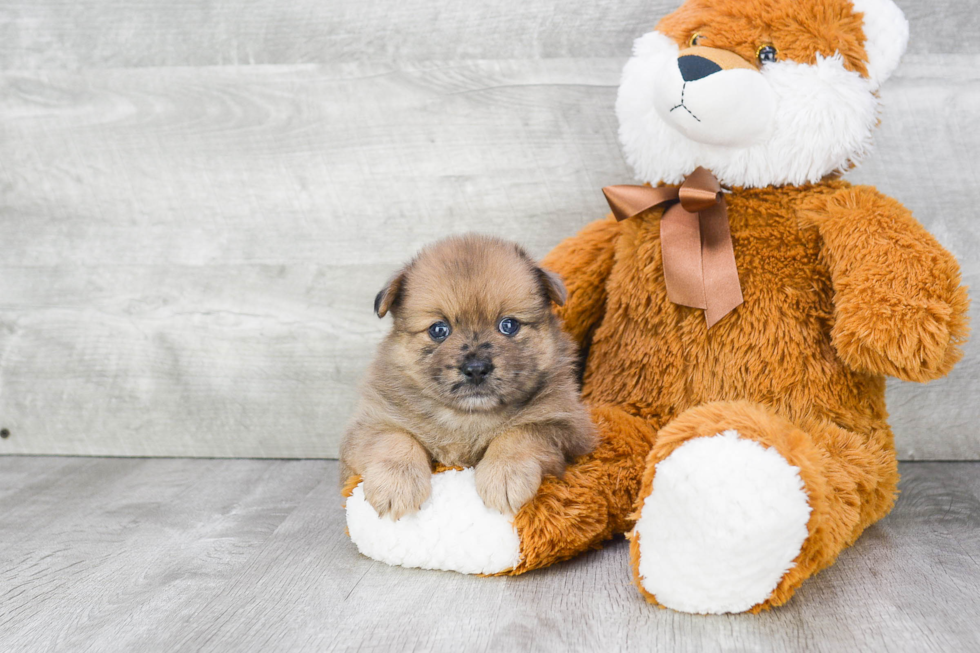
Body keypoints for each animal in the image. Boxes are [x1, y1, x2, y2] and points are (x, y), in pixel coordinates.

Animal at [340, 234, 592, 520]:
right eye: (439, 329)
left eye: (509, 325)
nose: (476, 368)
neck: (467, 418)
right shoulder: (369, 424)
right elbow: (394, 438)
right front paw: (397, 482)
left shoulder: (566, 426)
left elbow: (520, 433)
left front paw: (504, 474)